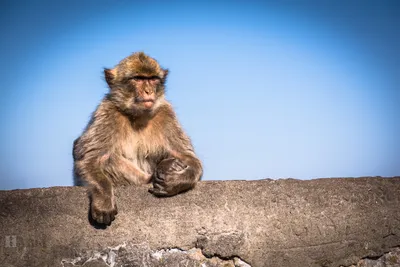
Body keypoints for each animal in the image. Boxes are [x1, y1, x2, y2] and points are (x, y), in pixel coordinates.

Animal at [72, 51, 202, 225]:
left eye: (153, 79)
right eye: (138, 79)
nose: (148, 91)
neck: (137, 116)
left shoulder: (166, 113)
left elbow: (188, 157)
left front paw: (178, 180)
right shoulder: (107, 112)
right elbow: (89, 158)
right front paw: (104, 202)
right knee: (108, 159)